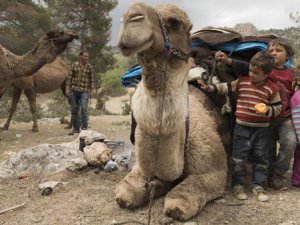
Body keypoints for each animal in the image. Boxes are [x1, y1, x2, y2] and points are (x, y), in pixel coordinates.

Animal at [116, 2, 229, 221]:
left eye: (175, 22)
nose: (131, 17)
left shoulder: (215, 170)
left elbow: (180, 200)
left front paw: (168, 193)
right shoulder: (141, 167)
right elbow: (126, 192)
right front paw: (155, 186)